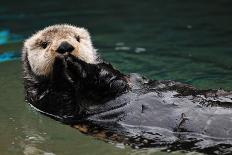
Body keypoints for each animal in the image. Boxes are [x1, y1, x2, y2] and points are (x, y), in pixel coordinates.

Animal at [22, 24, 232, 155]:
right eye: (44, 44)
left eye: (77, 38)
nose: (65, 47)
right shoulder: (49, 102)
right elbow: (65, 98)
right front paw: (65, 67)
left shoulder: (121, 80)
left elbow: (112, 77)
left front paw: (75, 63)